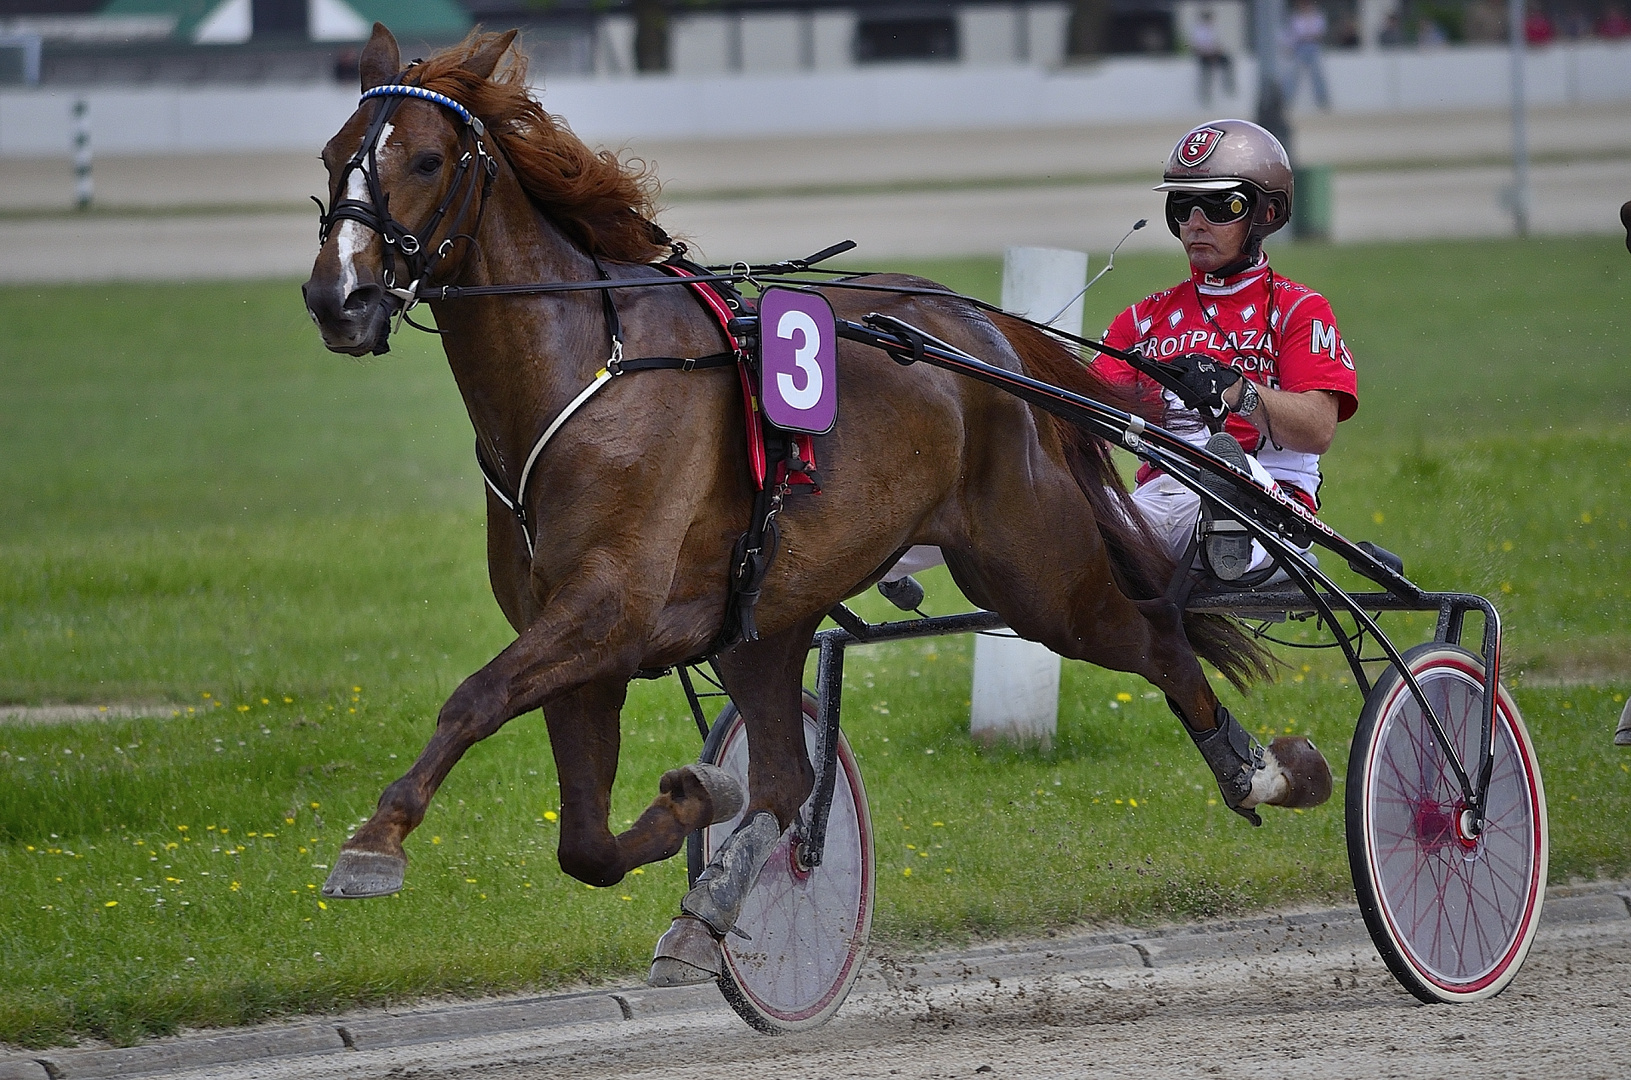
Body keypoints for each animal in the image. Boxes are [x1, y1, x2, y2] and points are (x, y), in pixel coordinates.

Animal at [303, 25, 1324, 991]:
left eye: (425, 160)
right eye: (332, 154)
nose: (335, 298)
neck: (587, 372)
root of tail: (985, 333)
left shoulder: (605, 610)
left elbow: (473, 698)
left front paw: (373, 844)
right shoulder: (580, 641)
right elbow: (585, 844)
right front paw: (696, 804)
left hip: (1038, 577)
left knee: (1160, 641)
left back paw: (1265, 771)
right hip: (773, 611)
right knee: (790, 777)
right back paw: (713, 900)